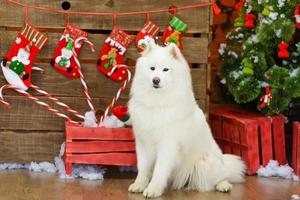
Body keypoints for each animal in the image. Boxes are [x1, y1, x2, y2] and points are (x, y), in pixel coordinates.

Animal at [127, 42, 245, 198]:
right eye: (152, 68)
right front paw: (139, 185)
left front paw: (153, 189)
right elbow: (143, 168)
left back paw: (224, 185)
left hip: (204, 163)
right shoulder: (143, 143)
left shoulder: (168, 145)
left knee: (221, 175)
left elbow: (159, 170)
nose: (156, 80)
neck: (158, 103)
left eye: (165, 69)